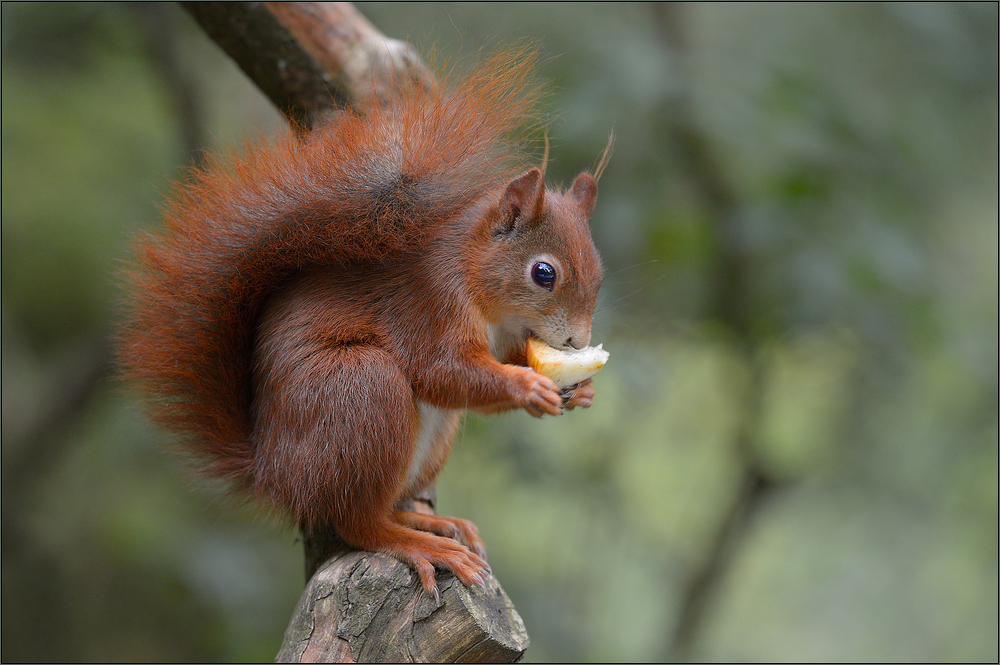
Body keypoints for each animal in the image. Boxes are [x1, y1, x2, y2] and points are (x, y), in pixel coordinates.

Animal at [123, 49, 608, 600]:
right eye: (544, 273)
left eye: (599, 273)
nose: (577, 341)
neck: (483, 293)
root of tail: (274, 473)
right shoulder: (428, 305)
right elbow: (443, 371)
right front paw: (527, 386)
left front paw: (580, 391)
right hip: (361, 390)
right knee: (358, 523)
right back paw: (420, 544)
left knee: (382, 505)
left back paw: (432, 522)